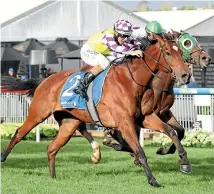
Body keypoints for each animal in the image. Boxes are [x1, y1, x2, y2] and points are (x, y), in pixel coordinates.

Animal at [0, 35, 191, 187]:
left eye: (181, 53)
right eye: (168, 53)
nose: (186, 75)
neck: (131, 81)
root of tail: (45, 79)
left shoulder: (145, 117)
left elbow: (172, 132)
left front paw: (184, 163)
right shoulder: (125, 122)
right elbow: (140, 151)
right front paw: (153, 180)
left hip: (69, 123)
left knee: (52, 148)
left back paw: (53, 176)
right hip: (38, 114)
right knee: (19, 133)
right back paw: (3, 158)